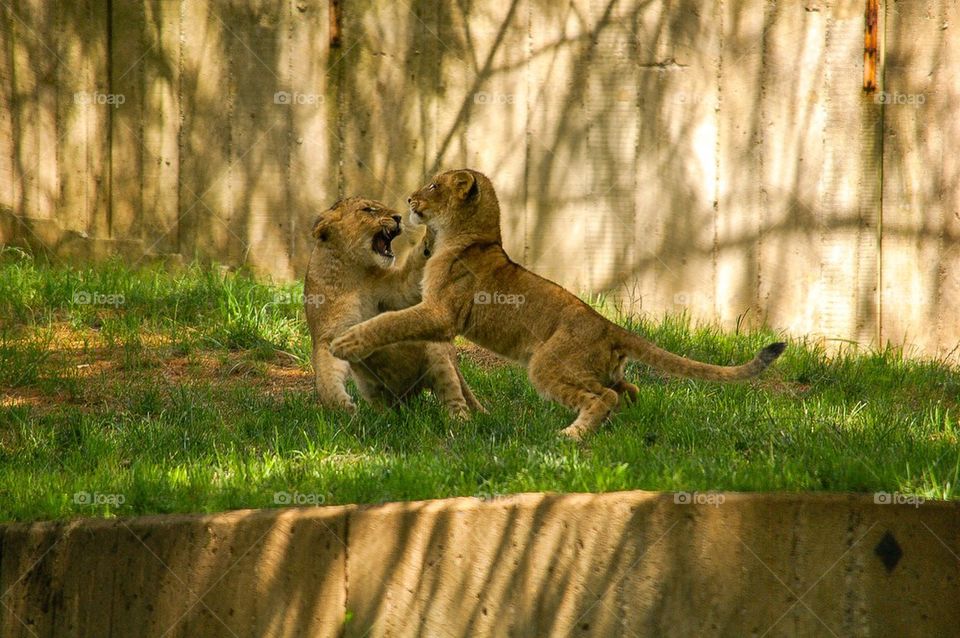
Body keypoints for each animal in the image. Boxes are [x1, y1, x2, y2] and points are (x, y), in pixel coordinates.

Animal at [304, 196, 483, 418]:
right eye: (368, 209)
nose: (398, 217)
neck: (354, 273)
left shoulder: (397, 292)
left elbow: (410, 280)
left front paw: (432, 230)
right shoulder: (328, 336)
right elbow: (325, 377)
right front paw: (341, 405)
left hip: (439, 356)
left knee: (452, 394)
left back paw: (460, 420)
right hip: (372, 387)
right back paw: (385, 417)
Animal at [330, 170, 785, 439]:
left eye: (433, 187)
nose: (408, 200)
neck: (469, 237)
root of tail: (609, 326)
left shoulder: (441, 314)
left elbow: (389, 321)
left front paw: (346, 343)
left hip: (547, 364)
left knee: (603, 398)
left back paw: (572, 436)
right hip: (599, 369)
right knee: (628, 388)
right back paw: (623, 426)